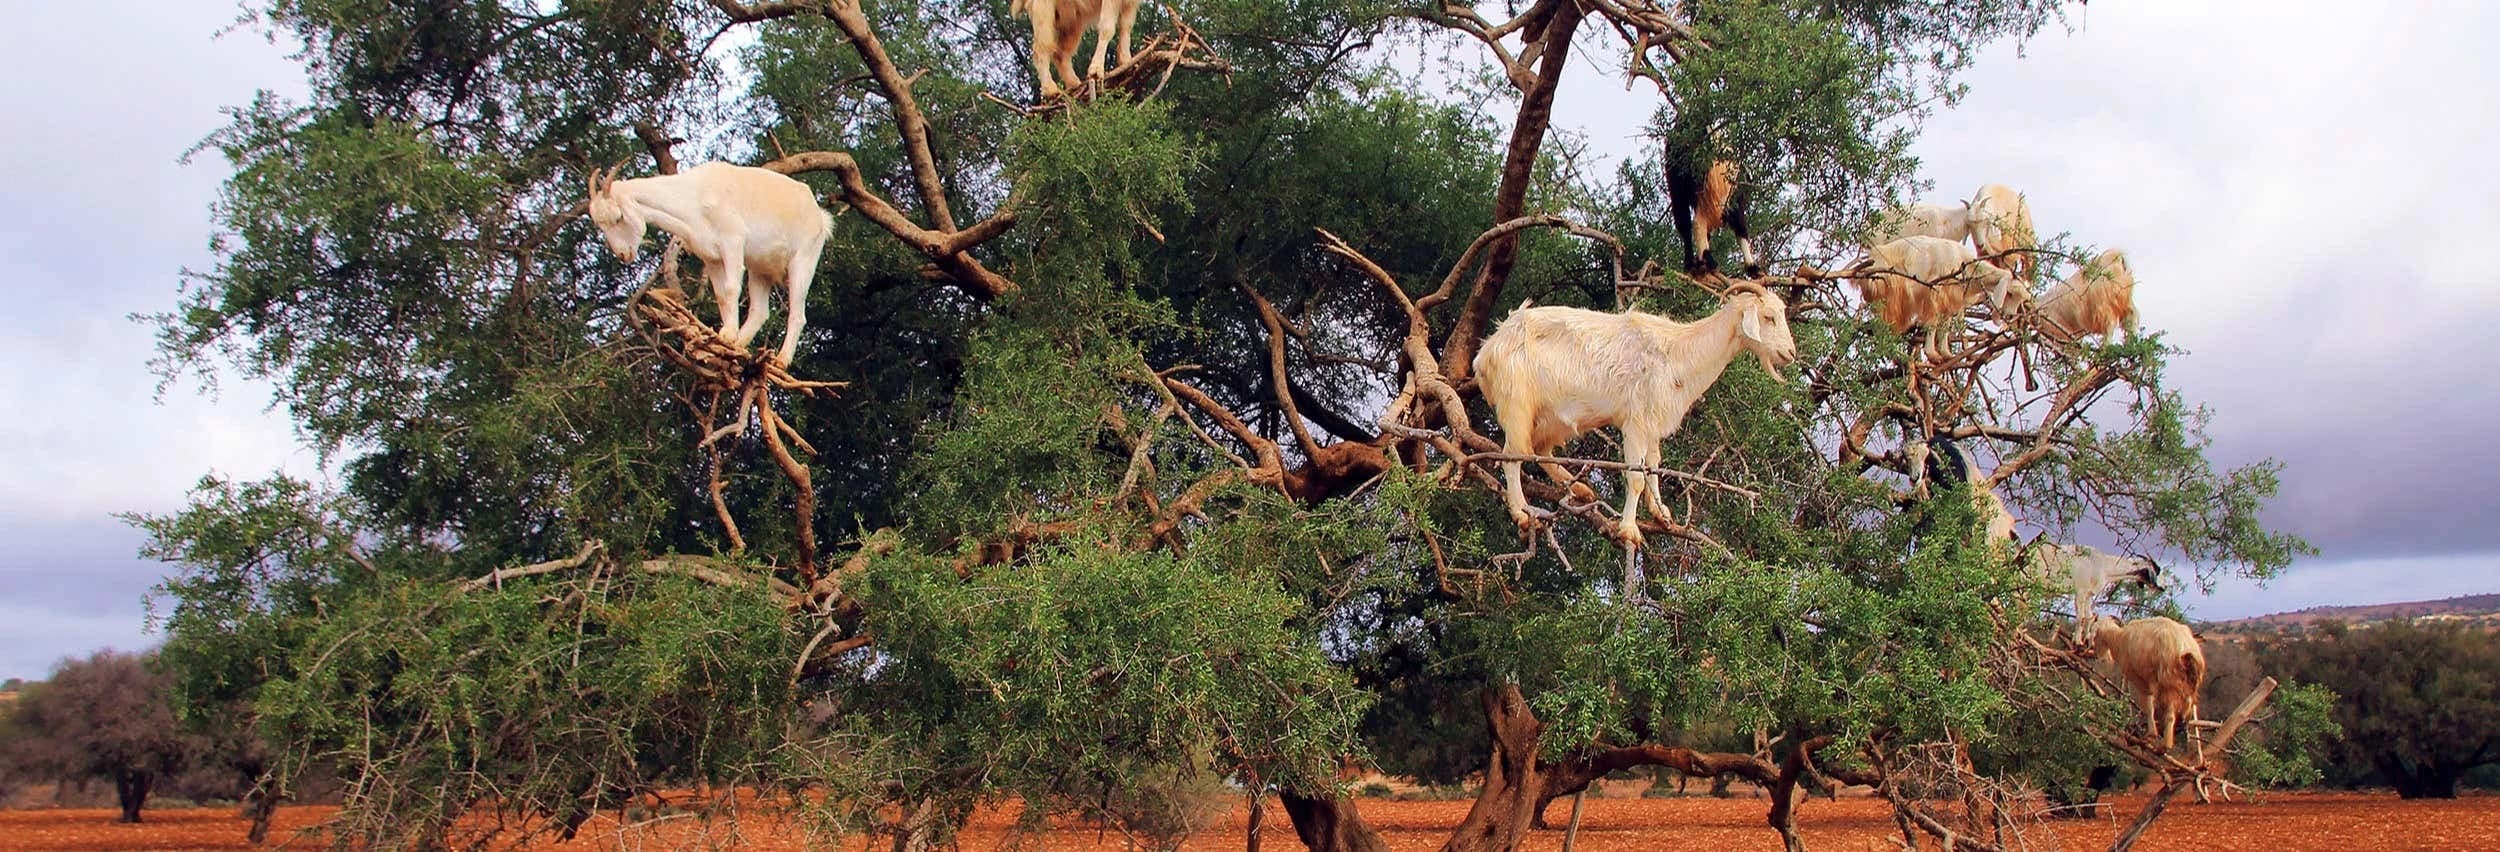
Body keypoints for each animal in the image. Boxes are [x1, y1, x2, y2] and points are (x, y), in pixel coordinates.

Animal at [586, 162, 834, 365]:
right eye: (600, 225)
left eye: (618, 217)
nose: (622, 254)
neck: (694, 196)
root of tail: (820, 217)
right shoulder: (711, 258)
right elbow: (722, 296)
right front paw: (724, 339)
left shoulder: (733, 240)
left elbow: (732, 288)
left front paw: (727, 335)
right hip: (760, 268)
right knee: (760, 311)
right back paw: (739, 347)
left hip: (803, 260)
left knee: (798, 314)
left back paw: (781, 360)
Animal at [1011, 0, 1144, 99]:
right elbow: (1107, 28)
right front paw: (1096, 70)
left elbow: (1126, 26)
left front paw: (1127, 62)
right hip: (1043, 11)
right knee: (1041, 49)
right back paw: (1051, 89)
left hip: (1073, 19)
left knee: (1061, 53)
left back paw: (1074, 85)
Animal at [1473, 282, 1798, 547]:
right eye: (1768, 317)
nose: (1791, 353)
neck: (1679, 350)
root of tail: (1486, 352)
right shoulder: (1636, 424)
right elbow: (1636, 477)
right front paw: (1629, 530)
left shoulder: (1653, 423)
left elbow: (1654, 465)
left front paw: (1661, 513)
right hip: (1517, 403)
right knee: (1513, 455)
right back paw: (1521, 512)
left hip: (1551, 417)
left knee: (1539, 448)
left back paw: (1579, 488)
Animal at [1854, 235, 2015, 358]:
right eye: (2011, 294)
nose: (2010, 315)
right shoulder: (1935, 291)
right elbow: (1933, 321)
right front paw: (1933, 355)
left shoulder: (1950, 300)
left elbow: (1946, 324)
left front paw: (1945, 354)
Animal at [2093, 616, 2206, 752]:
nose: (2098, 655)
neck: (2119, 638)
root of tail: (2185, 649)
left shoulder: (2139, 680)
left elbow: (2146, 706)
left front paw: (2148, 733)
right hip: (2187, 685)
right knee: (2186, 710)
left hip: (2169, 684)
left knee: (2170, 716)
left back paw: (2165, 745)